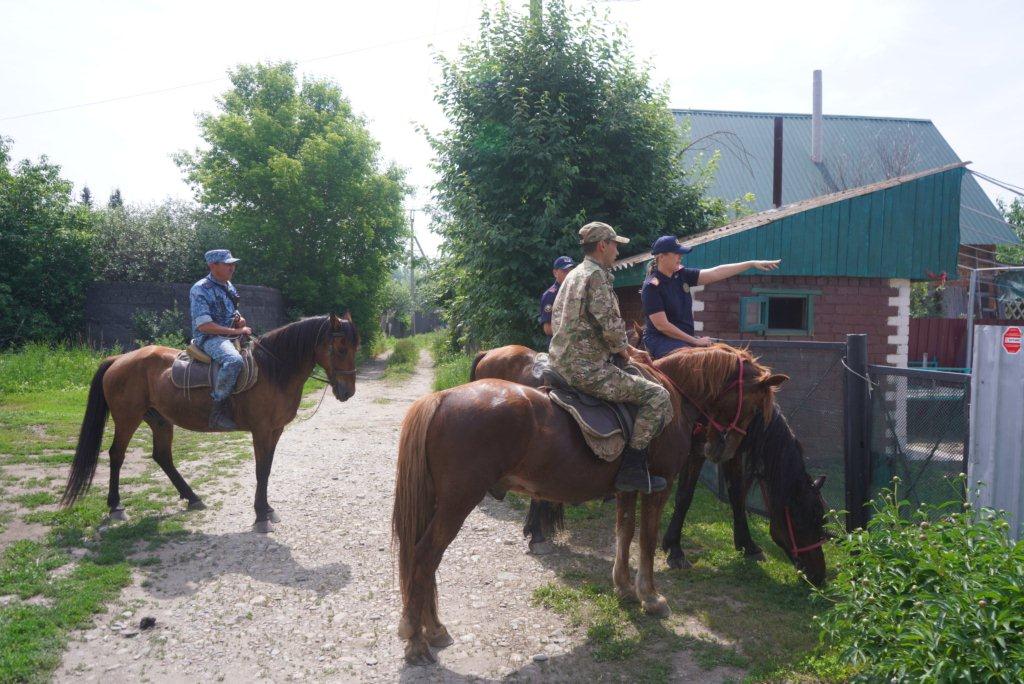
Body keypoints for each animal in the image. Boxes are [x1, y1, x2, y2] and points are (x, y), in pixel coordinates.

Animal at [61, 313, 360, 532]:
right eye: (340, 348)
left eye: (355, 347)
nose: (347, 392)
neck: (273, 370)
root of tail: (118, 360)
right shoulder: (262, 431)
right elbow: (261, 470)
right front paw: (261, 516)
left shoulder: (275, 431)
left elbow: (267, 469)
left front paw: (267, 509)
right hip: (127, 418)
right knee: (117, 455)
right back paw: (116, 507)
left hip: (160, 421)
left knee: (162, 456)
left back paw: (192, 497)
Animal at [391, 348, 782, 663]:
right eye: (752, 407)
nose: (723, 450)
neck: (672, 397)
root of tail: (443, 398)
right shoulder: (659, 487)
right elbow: (647, 540)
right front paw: (651, 596)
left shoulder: (627, 489)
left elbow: (624, 532)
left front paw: (624, 588)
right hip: (457, 504)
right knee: (424, 557)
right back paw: (416, 640)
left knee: (423, 561)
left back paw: (433, 630)